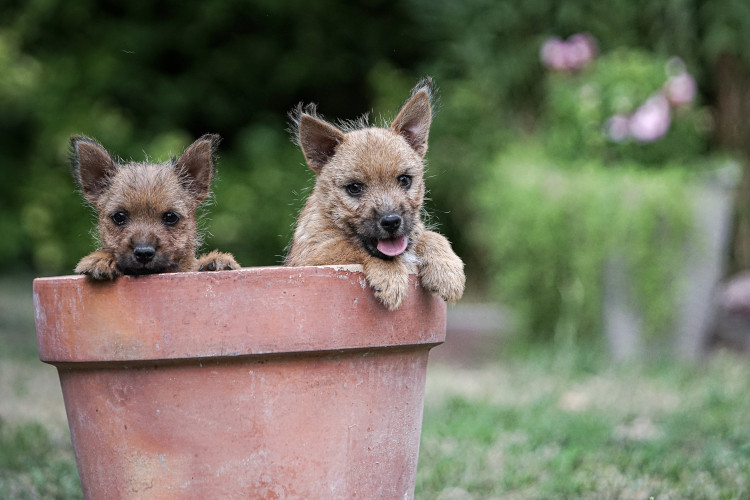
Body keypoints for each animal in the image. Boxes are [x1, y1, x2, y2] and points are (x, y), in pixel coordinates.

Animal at [286, 77, 464, 308]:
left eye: (404, 180)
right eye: (354, 188)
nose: (391, 222)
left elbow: (431, 235)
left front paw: (448, 270)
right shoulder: (310, 257)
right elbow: (349, 247)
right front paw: (391, 277)